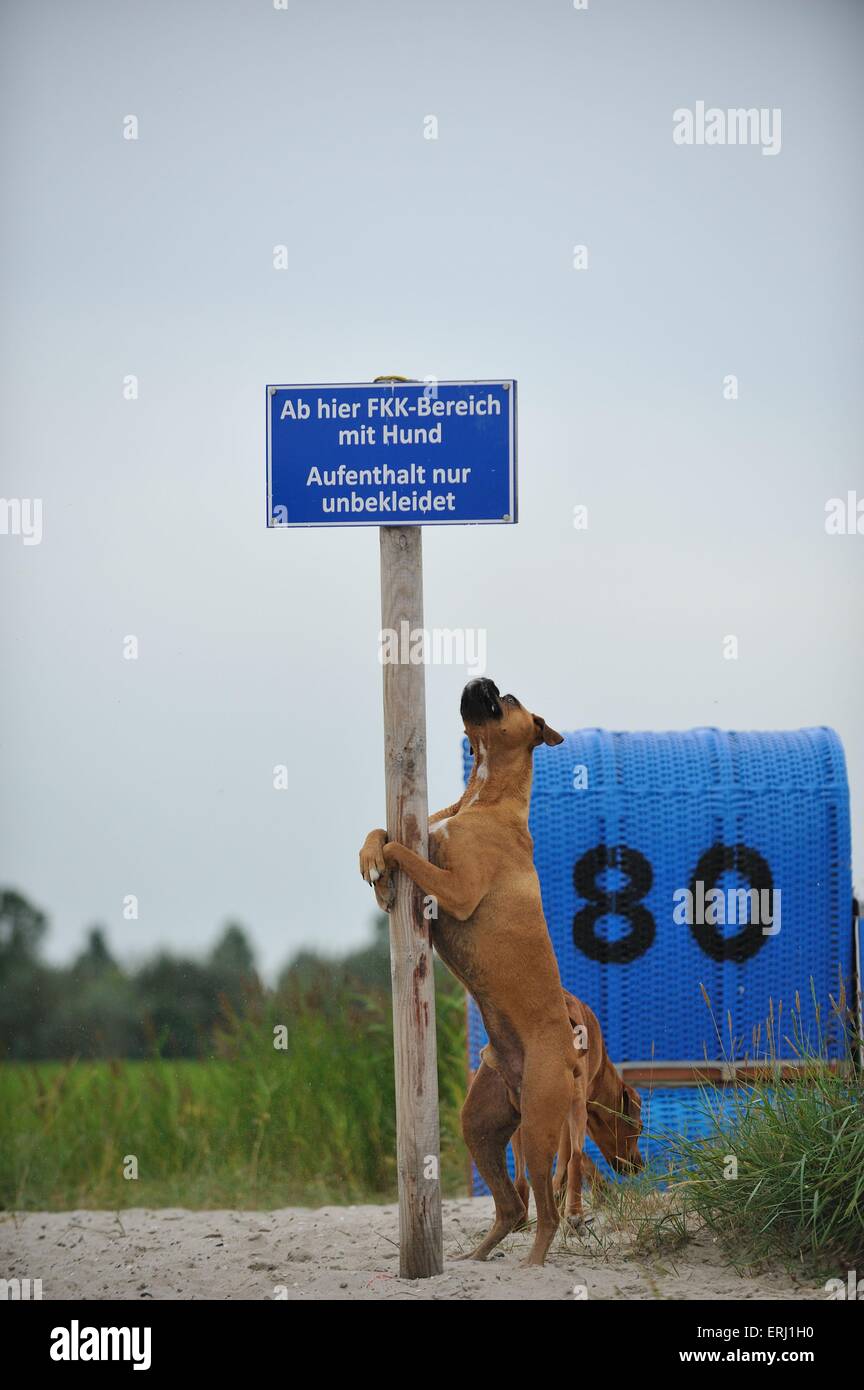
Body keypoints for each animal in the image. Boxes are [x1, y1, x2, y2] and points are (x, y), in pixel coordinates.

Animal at [361, 678, 577, 1267]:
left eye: (509, 700)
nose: (484, 680)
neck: (486, 797)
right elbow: (380, 831)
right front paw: (371, 865)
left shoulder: (454, 890)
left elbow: (403, 848)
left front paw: (386, 866)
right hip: (480, 1124)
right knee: (513, 1208)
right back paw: (475, 1260)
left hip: (538, 1131)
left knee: (545, 1212)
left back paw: (531, 1266)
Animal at [513, 989, 644, 1228]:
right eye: (640, 1128)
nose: (640, 1166)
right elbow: (571, 1158)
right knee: (573, 1157)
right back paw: (574, 1213)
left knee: (520, 1171)